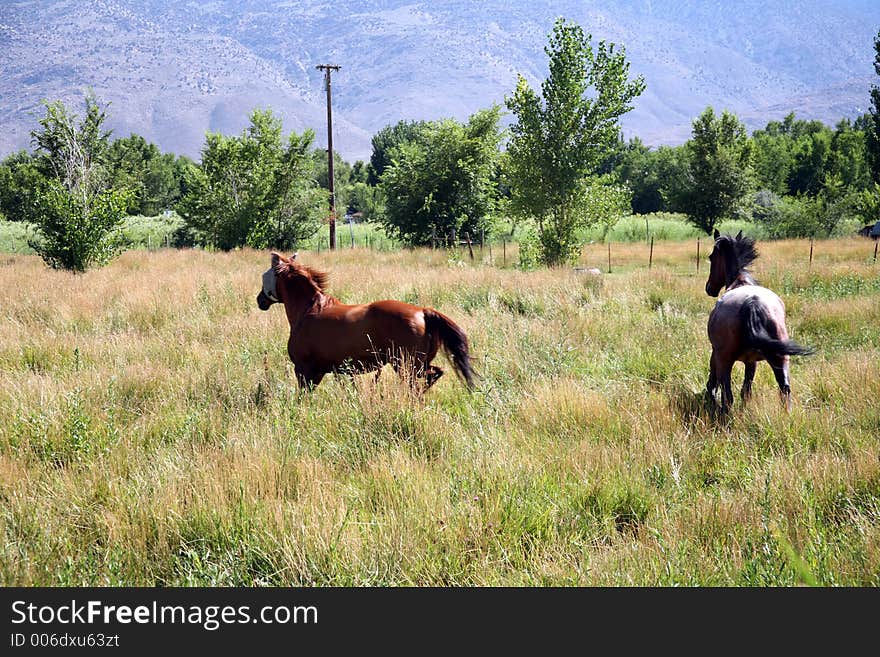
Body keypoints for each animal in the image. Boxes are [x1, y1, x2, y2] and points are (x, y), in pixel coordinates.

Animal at [254, 251, 474, 390]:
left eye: (266, 275)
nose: (260, 300)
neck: (308, 311)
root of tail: (422, 312)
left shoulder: (304, 369)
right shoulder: (320, 371)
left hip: (407, 366)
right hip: (418, 365)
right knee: (435, 374)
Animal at [704, 229, 816, 410]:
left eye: (711, 257)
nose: (709, 288)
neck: (739, 282)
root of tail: (752, 302)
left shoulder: (716, 354)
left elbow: (715, 379)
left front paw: (710, 395)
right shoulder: (752, 361)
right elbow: (746, 390)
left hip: (725, 360)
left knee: (728, 396)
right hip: (781, 358)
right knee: (784, 388)